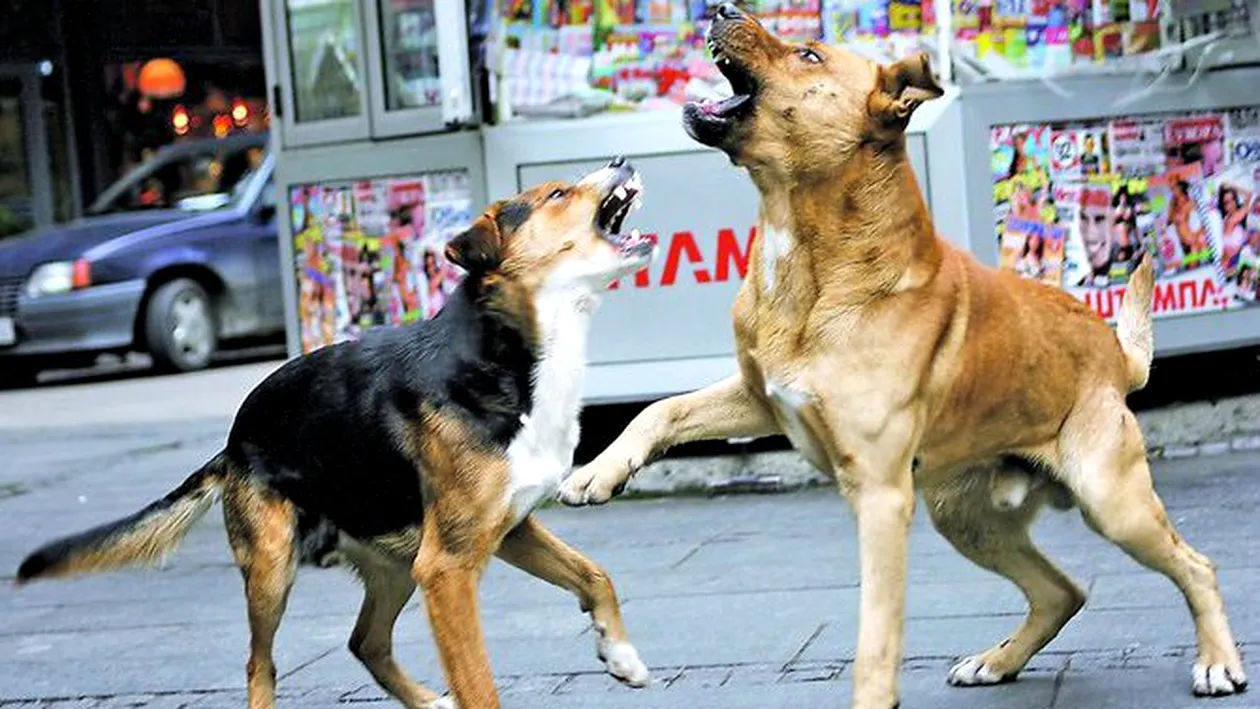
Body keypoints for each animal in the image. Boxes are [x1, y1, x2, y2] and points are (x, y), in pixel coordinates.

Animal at [17, 159, 660, 709]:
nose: (620, 160)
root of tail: (231, 443)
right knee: (260, 665)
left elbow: (595, 574)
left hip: (395, 562)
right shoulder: (448, 568)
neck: (506, 357)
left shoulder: (508, 530)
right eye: (556, 194)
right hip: (275, 569)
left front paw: (620, 654)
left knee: (365, 642)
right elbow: (479, 684)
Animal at [564, 6, 1249, 709]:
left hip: (1112, 502)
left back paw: (1217, 663)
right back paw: (998, 662)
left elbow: (877, 632)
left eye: (808, 54)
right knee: (1063, 590)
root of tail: (1117, 356)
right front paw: (597, 473)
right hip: (965, 518)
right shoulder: (761, 397)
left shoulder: (881, 498)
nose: (723, 9)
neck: (810, 260)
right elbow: (660, 409)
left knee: (1195, 565)